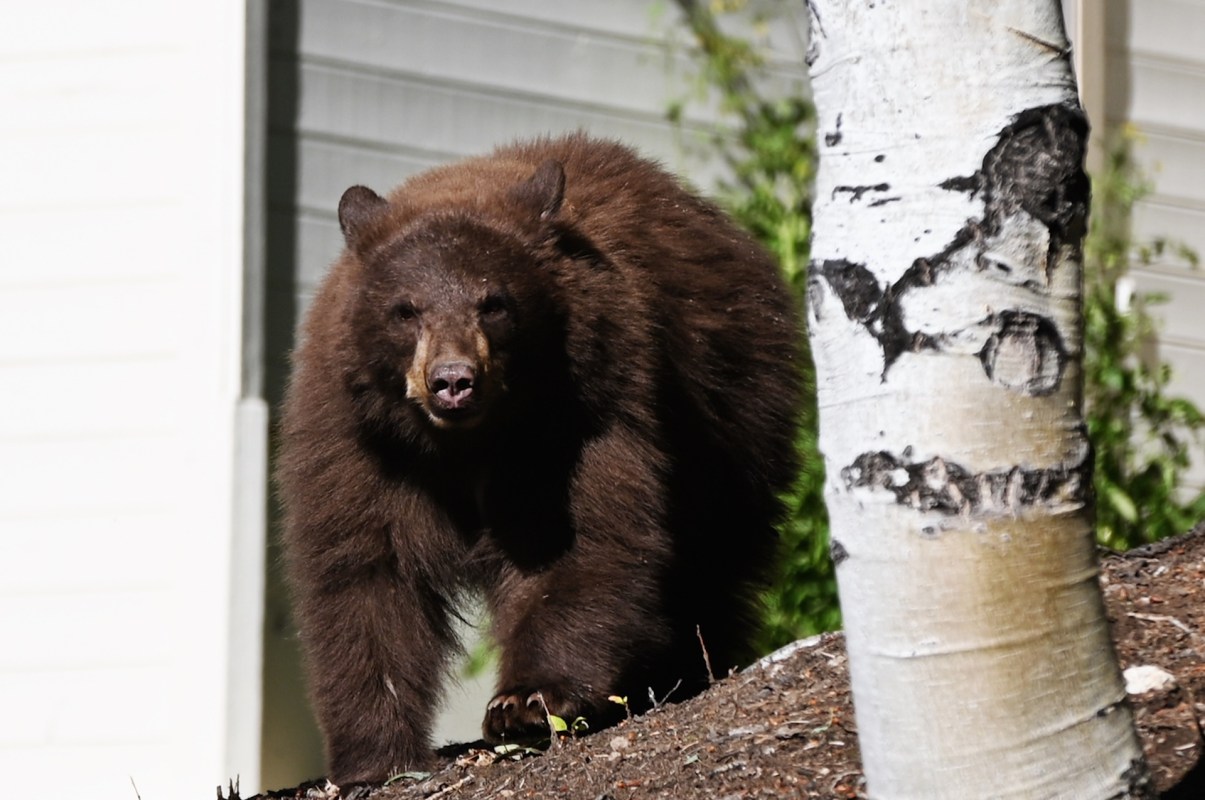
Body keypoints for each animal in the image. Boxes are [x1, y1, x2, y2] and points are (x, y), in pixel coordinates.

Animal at [277, 133, 804, 784]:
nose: (454, 380)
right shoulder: (359, 439)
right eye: (406, 309)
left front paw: (526, 702)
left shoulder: (581, 414)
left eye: (493, 303)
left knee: (713, 561)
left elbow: (581, 537)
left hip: (733, 419)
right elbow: (363, 569)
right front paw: (375, 754)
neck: (466, 444)